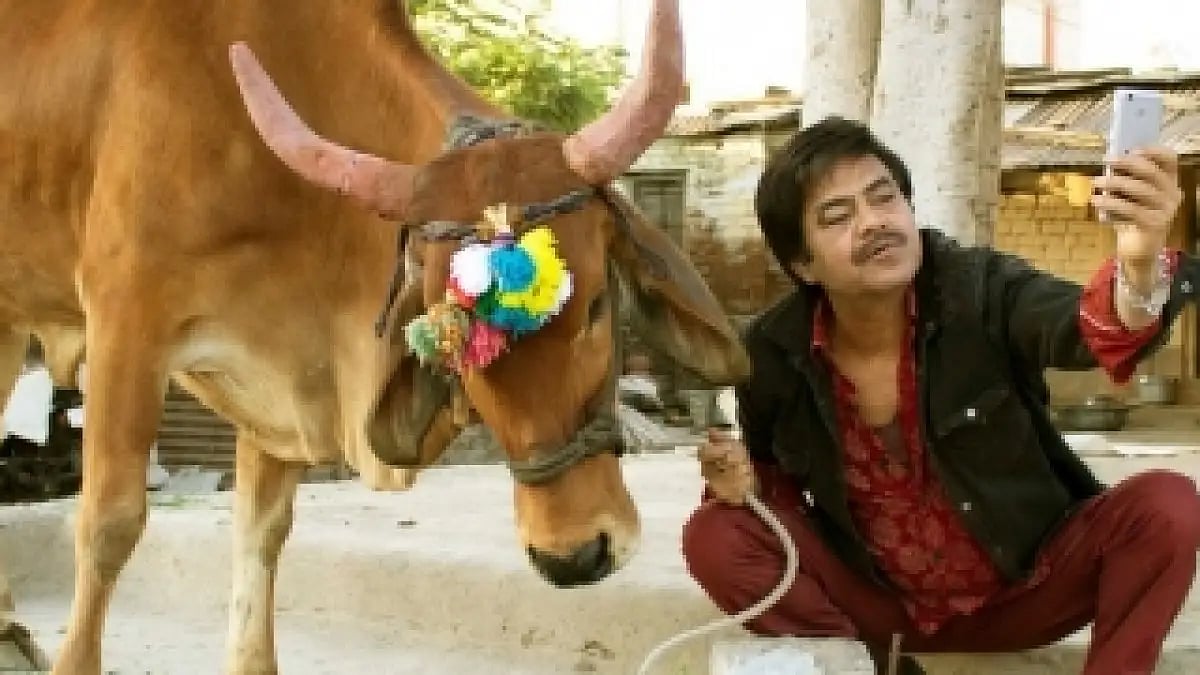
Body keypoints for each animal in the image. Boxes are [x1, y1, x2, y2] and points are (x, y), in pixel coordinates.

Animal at [0, 0, 750, 672]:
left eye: (596, 306)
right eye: (447, 336)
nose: (576, 554)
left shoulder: (282, 379)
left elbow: (261, 535)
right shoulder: (126, 321)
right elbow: (109, 524)